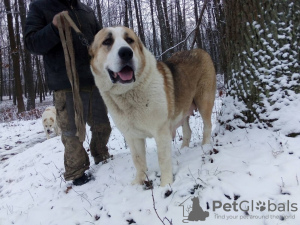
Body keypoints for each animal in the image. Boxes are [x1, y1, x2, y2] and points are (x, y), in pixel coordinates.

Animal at [89, 26, 216, 186]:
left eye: (129, 40)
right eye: (107, 41)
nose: (126, 52)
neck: (129, 93)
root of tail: (200, 50)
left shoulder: (161, 132)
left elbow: (163, 160)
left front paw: (166, 184)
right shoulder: (132, 137)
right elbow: (138, 161)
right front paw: (138, 182)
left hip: (203, 101)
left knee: (207, 125)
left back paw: (205, 146)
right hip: (183, 109)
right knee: (187, 131)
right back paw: (184, 149)